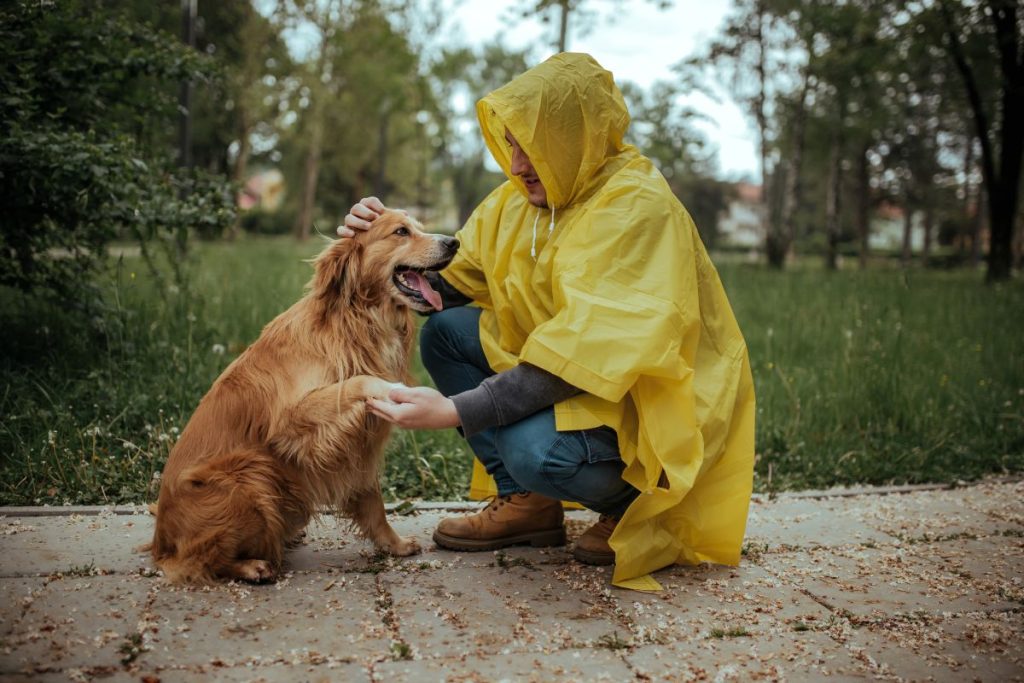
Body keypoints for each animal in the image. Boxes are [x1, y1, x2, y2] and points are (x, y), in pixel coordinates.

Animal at [146, 210, 458, 585]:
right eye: (401, 231)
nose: (454, 242)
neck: (357, 323)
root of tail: (160, 543)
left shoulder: (359, 441)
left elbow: (372, 500)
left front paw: (392, 544)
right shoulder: (293, 419)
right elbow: (357, 382)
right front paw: (384, 387)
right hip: (250, 472)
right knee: (199, 560)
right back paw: (253, 565)